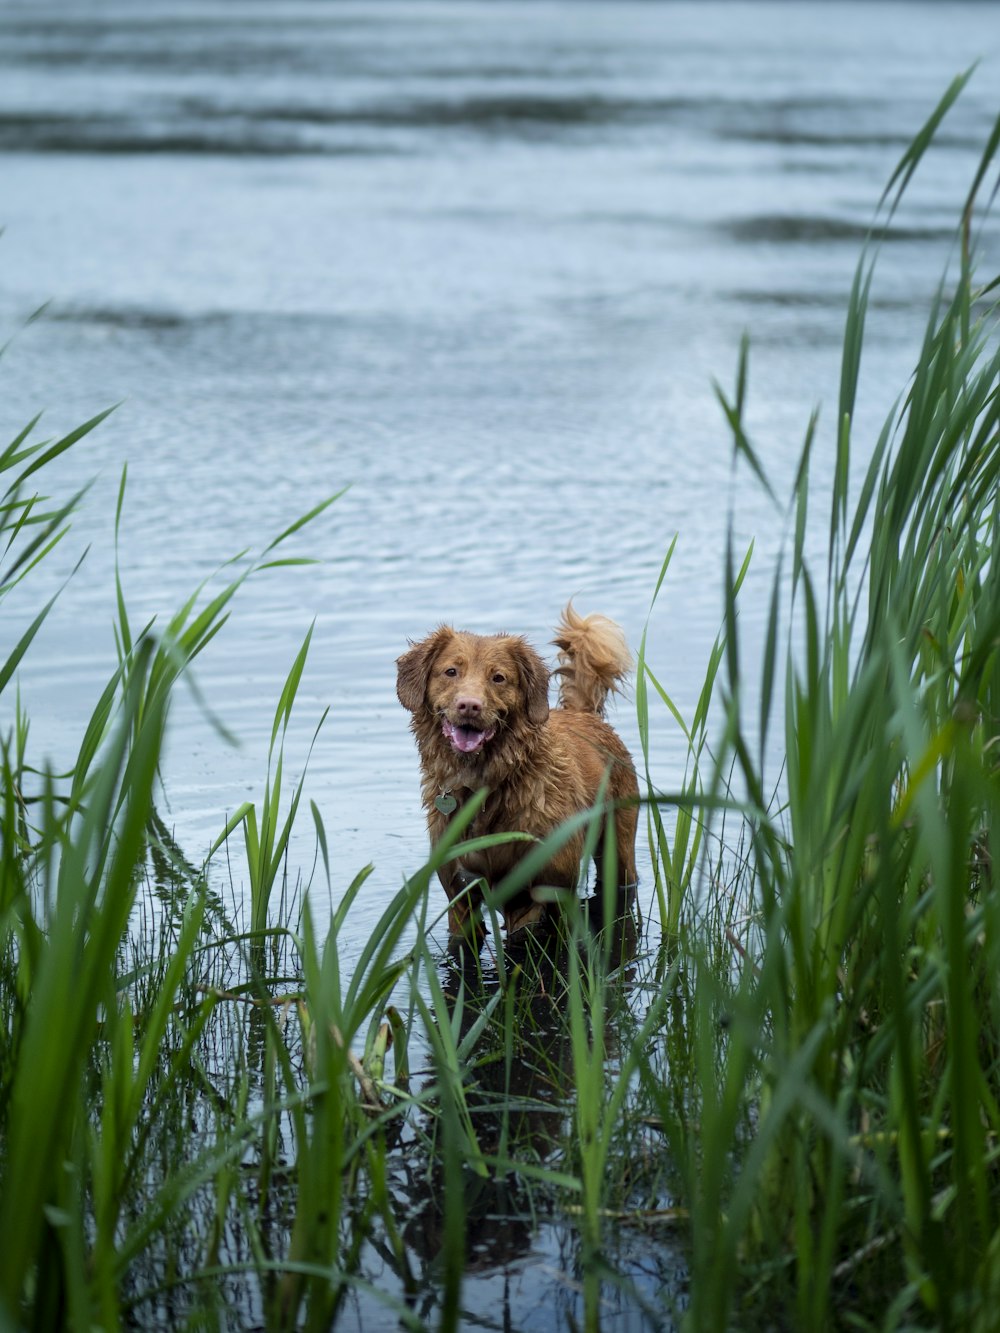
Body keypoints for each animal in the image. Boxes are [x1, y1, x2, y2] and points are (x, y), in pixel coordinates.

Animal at [394, 605, 637, 938]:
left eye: (499, 678)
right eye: (451, 672)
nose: (469, 705)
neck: (484, 788)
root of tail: (583, 714)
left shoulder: (540, 894)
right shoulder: (459, 895)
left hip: (619, 846)